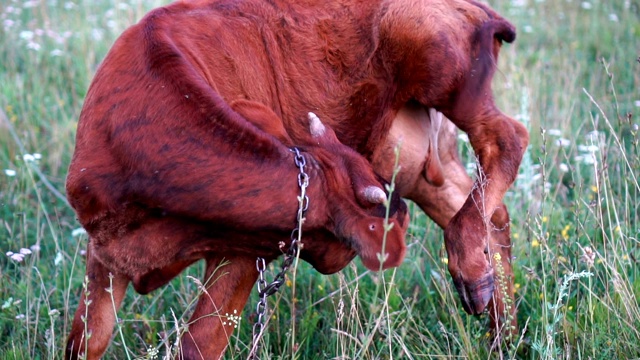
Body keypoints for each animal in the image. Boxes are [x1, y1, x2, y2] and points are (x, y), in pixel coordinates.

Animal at [63, 0, 528, 358]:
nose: (392, 204)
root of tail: (477, 8)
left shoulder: (241, 253)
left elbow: (198, 344)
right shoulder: (104, 253)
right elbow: (87, 340)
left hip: (443, 75)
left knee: (507, 138)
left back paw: (471, 274)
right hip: (416, 164)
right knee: (488, 213)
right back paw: (502, 334)